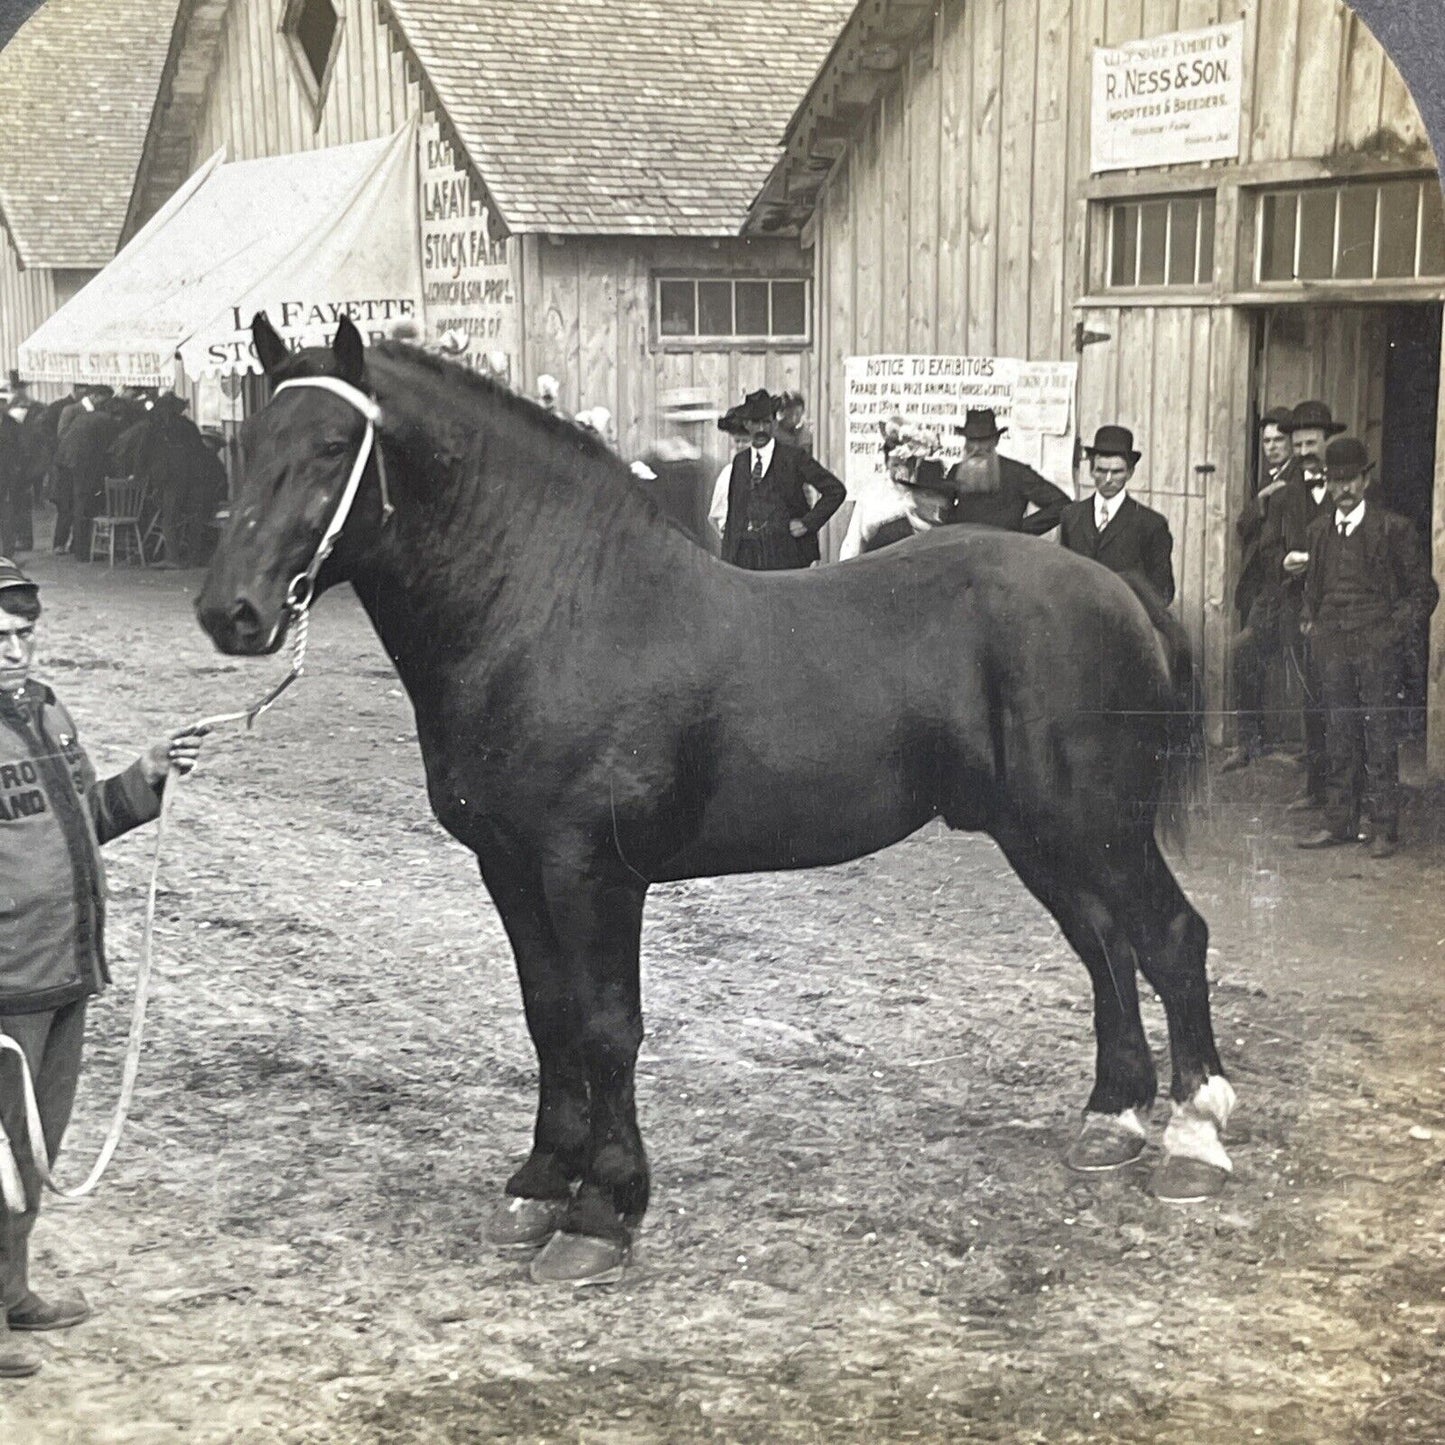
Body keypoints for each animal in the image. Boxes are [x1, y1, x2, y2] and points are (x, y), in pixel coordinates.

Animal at [197, 319, 1236, 1288]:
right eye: (249, 442)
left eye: (334, 445)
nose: (231, 611)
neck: (557, 614)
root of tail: (1116, 589)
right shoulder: (508, 866)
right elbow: (547, 1017)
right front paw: (539, 1183)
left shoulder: (593, 873)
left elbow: (606, 1027)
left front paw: (603, 1211)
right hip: (1038, 834)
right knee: (1103, 945)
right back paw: (1113, 1118)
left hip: (1098, 825)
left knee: (1169, 937)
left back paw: (1193, 1139)